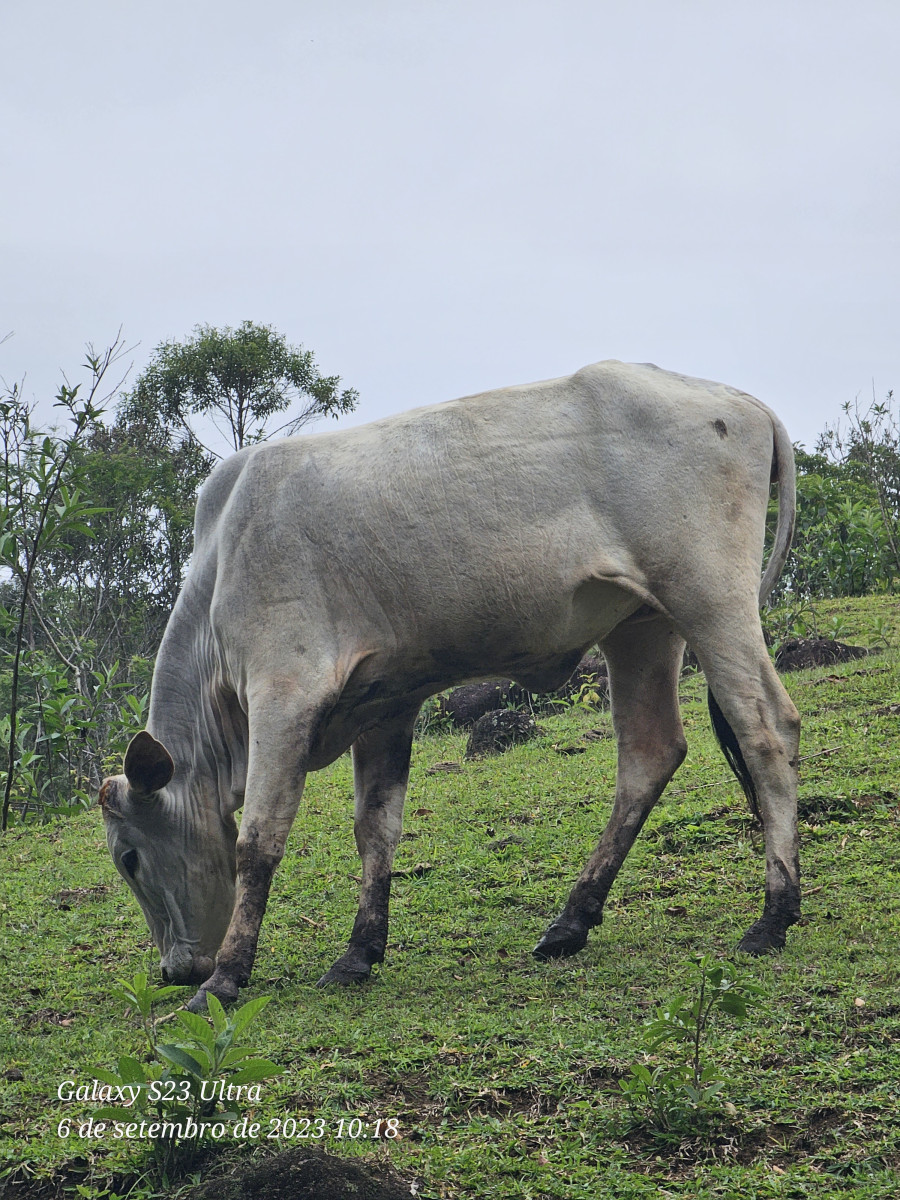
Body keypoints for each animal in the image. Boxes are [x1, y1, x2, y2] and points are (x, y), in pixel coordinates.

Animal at [100, 357, 801, 1012]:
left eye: (129, 856)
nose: (175, 969)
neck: (221, 562)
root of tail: (742, 400)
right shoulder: (386, 703)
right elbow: (375, 829)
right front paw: (358, 953)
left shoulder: (283, 693)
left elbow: (258, 841)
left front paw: (223, 979)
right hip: (642, 630)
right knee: (650, 754)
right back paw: (571, 921)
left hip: (709, 599)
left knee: (766, 725)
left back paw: (774, 913)